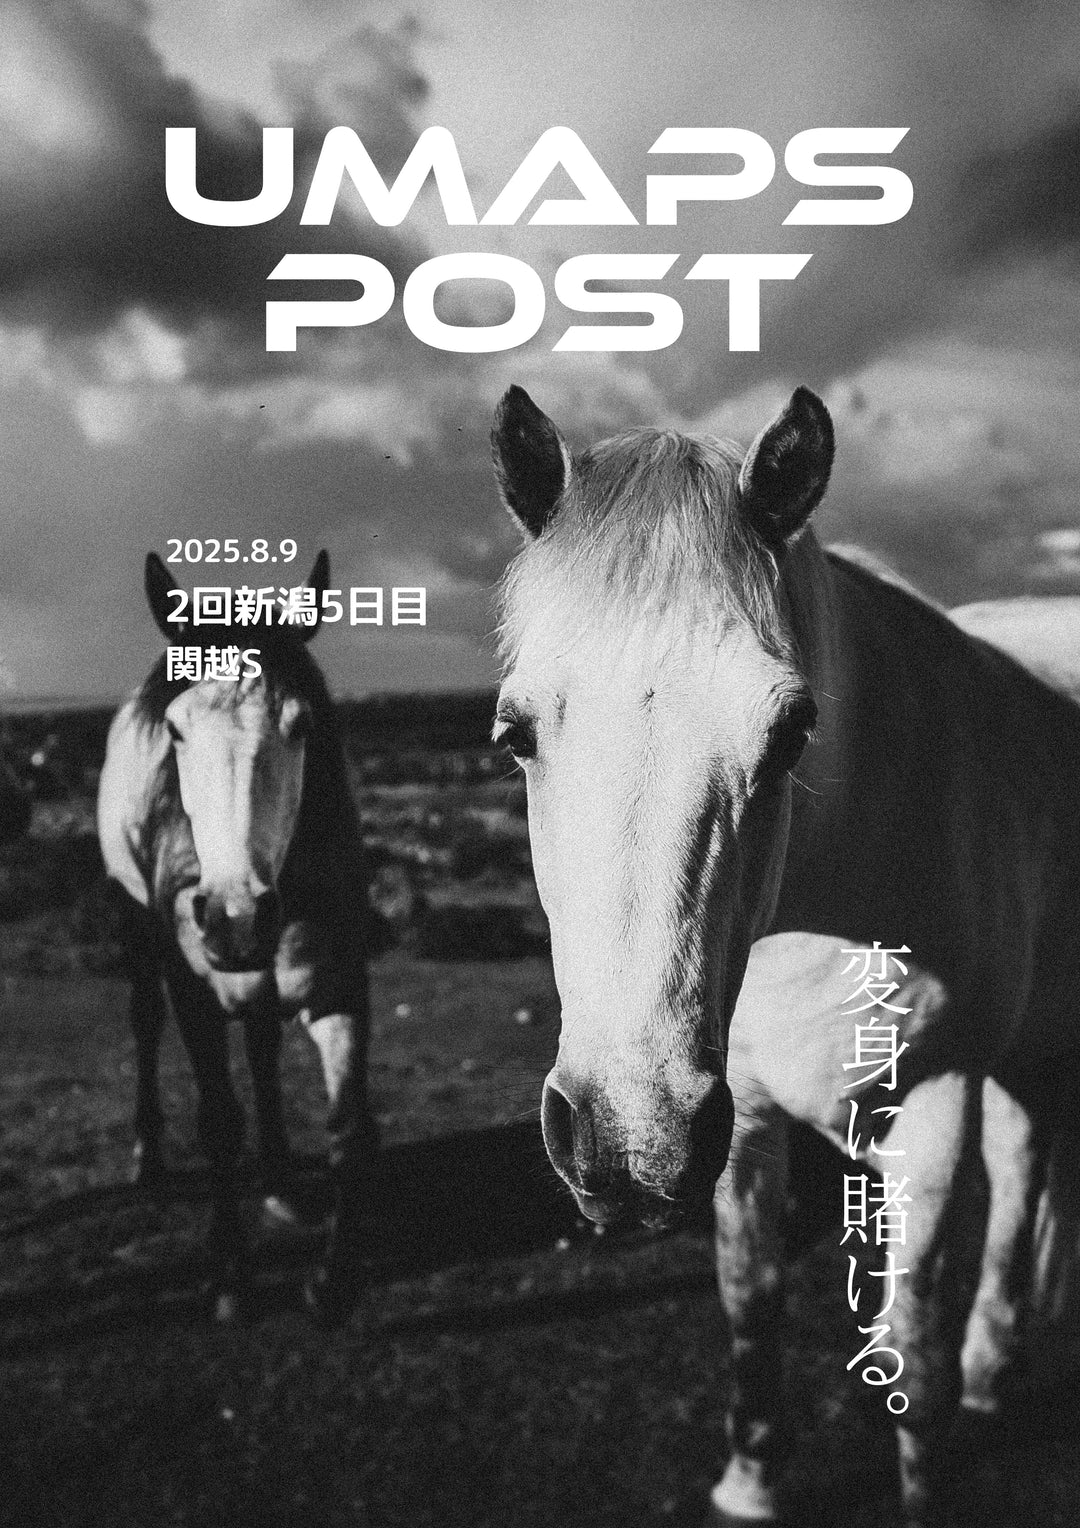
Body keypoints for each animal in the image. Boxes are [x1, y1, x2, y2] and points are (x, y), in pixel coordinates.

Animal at [97, 551, 377, 1323]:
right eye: (176, 729)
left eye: (300, 724)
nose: (233, 916)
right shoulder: (194, 993)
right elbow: (219, 1122)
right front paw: (230, 1279)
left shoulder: (341, 985)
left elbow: (349, 1126)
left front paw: (335, 1279)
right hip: (136, 928)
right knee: (143, 1019)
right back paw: (150, 1159)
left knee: (259, 1040)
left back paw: (280, 1181)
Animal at [491, 382, 1080, 1528]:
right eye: (516, 733)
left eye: (794, 731)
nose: (626, 1139)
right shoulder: (745, 1115)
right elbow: (749, 1298)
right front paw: (753, 1476)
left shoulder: (933, 1102)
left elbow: (913, 1355)